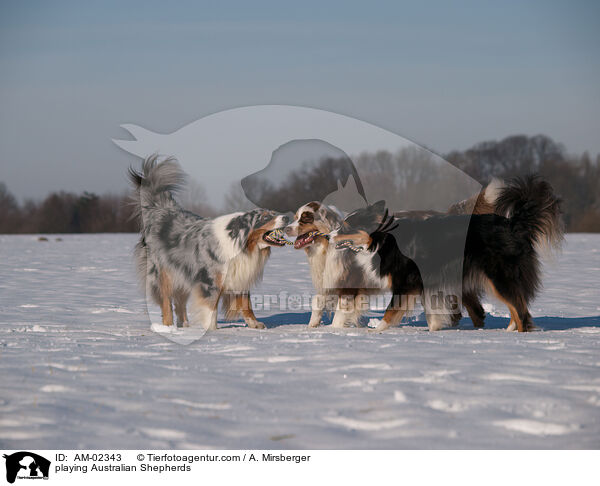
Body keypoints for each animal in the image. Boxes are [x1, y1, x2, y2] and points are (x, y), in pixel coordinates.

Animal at [130, 156, 290, 330]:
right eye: (265, 217)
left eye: (274, 213)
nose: (287, 217)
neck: (241, 244)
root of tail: (161, 210)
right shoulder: (210, 280)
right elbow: (210, 309)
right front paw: (212, 330)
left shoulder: (239, 276)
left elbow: (246, 304)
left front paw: (255, 324)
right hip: (164, 273)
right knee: (166, 302)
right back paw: (168, 327)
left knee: (180, 303)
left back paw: (185, 326)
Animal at [332, 177, 564, 332]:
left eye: (346, 227)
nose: (328, 235)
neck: (383, 238)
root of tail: (513, 224)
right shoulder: (425, 283)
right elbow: (432, 313)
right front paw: (435, 331)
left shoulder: (406, 283)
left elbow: (391, 310)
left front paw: (376, 331)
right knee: (517, 305)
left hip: (499, 276)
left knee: (519, 308)